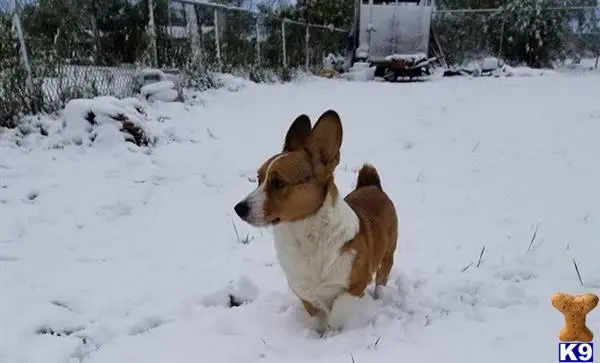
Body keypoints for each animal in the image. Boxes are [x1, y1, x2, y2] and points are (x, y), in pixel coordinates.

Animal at [234, 109, 398, 334]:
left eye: (279, 182)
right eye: (259, 178)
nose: (239, 208)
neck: (302, 234)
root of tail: (371, 185)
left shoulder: (355, 286)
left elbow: (337, 312)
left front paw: (334, 332)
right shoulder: (304, 292)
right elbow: (317, 316)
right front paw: (319, 332)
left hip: (388, 254)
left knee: (382, 278)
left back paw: (379, 297)